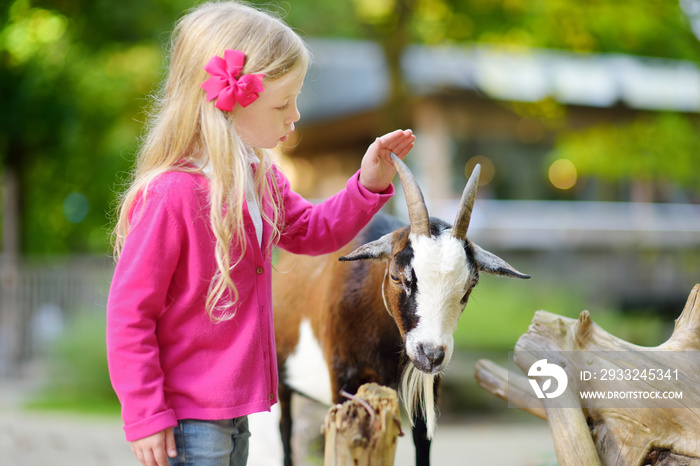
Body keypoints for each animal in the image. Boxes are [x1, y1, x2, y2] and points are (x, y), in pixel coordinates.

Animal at [270, 155, 528, 464]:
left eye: (471, 284)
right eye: (396, 276)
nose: (431, 354)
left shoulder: (427, 388)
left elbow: (422, 444)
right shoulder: (343, 379)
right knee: (285, 428)